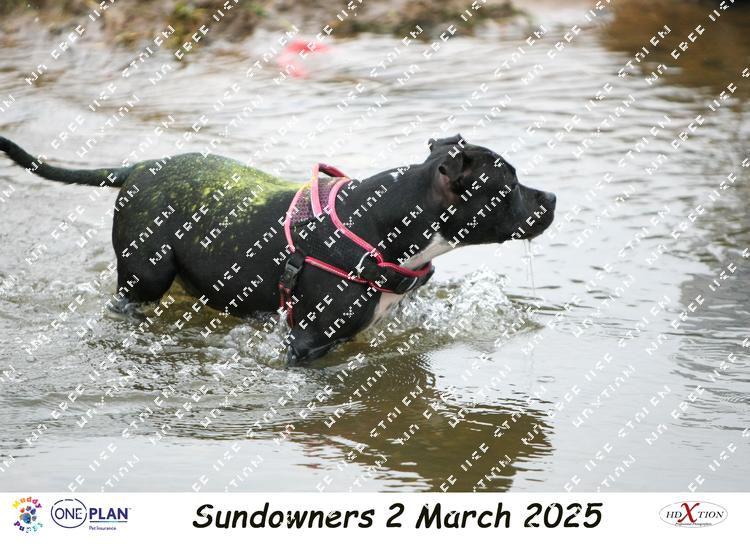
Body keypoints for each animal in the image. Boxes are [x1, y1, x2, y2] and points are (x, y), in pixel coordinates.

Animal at [0, 134, 556, 364]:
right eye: (507, 186)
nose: (551, 198)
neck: (379, 224)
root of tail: (138, 168)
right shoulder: (306, 344)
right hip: (145, 276)